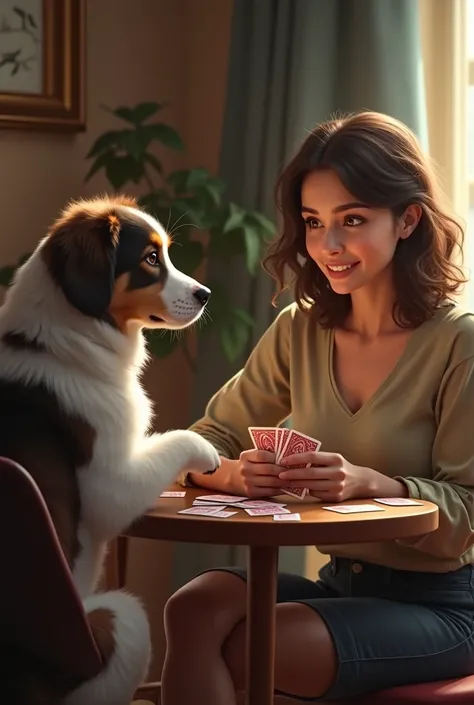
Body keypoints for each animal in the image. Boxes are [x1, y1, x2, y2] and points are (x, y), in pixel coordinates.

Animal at [0, 195, 221, 704]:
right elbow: (176, 439)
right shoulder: (111, 486)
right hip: (124, 622)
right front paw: (211, 455)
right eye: (151, 258)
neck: (64, 342)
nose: (205, 294)